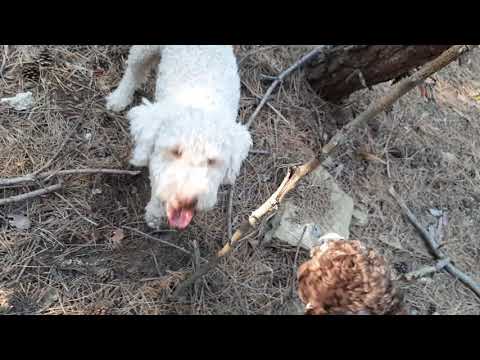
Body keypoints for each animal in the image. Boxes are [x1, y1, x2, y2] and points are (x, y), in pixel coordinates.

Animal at [106, 46, 251, 229]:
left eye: (211, 161)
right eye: (175, 151)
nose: (187, 201)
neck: (199, 97)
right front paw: (154, 213)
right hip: (145, 50)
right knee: (134, 68)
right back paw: (119, 97)